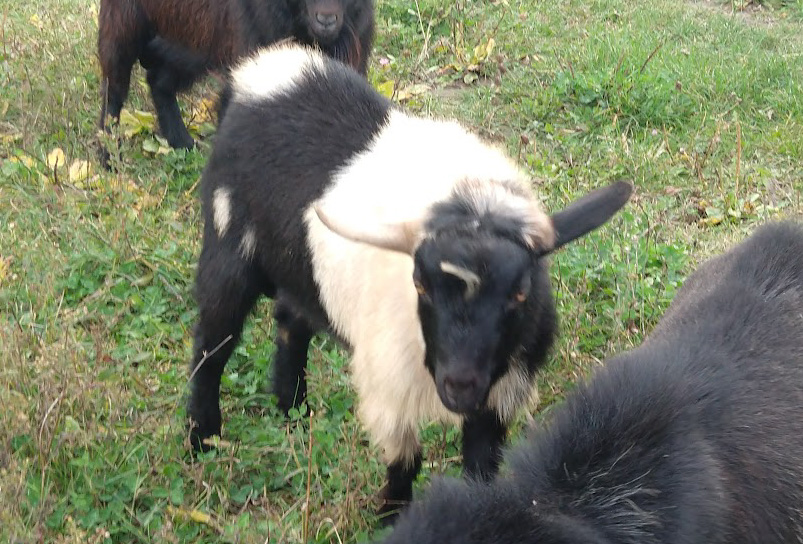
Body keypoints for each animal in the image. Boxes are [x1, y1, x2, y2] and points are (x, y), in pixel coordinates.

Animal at [97, 0, 374, 166]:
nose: (326, 19)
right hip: (123, 24)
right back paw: (108, 156)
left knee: (159, 80)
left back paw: (182, 143)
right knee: (114, 91)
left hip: (193, 42)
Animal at [187, 43, 632, 522]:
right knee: (212, 346)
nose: (459, 385)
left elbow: (481, 467)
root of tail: (258, 71)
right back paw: (202, 439)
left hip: (300, 264)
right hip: (228, 243)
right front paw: (391, 518)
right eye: (420, 284)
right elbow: (405, 461)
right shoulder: (391, 385)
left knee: (291, 319)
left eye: (520, 292)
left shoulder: (497, 396)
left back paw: (293, 409)